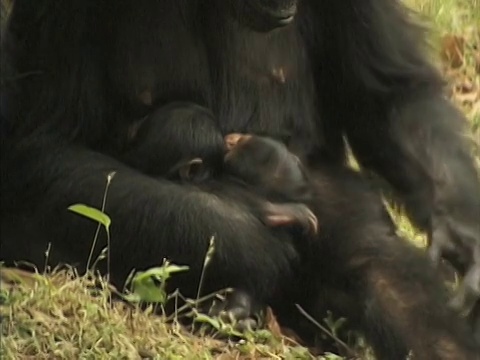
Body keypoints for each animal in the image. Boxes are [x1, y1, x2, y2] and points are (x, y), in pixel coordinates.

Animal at [0, 0, 480, 358]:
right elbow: (50, 141)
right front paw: (249, 238)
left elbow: (388, 92)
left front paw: (463, 239)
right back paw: (235, 305)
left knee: (379, 264)